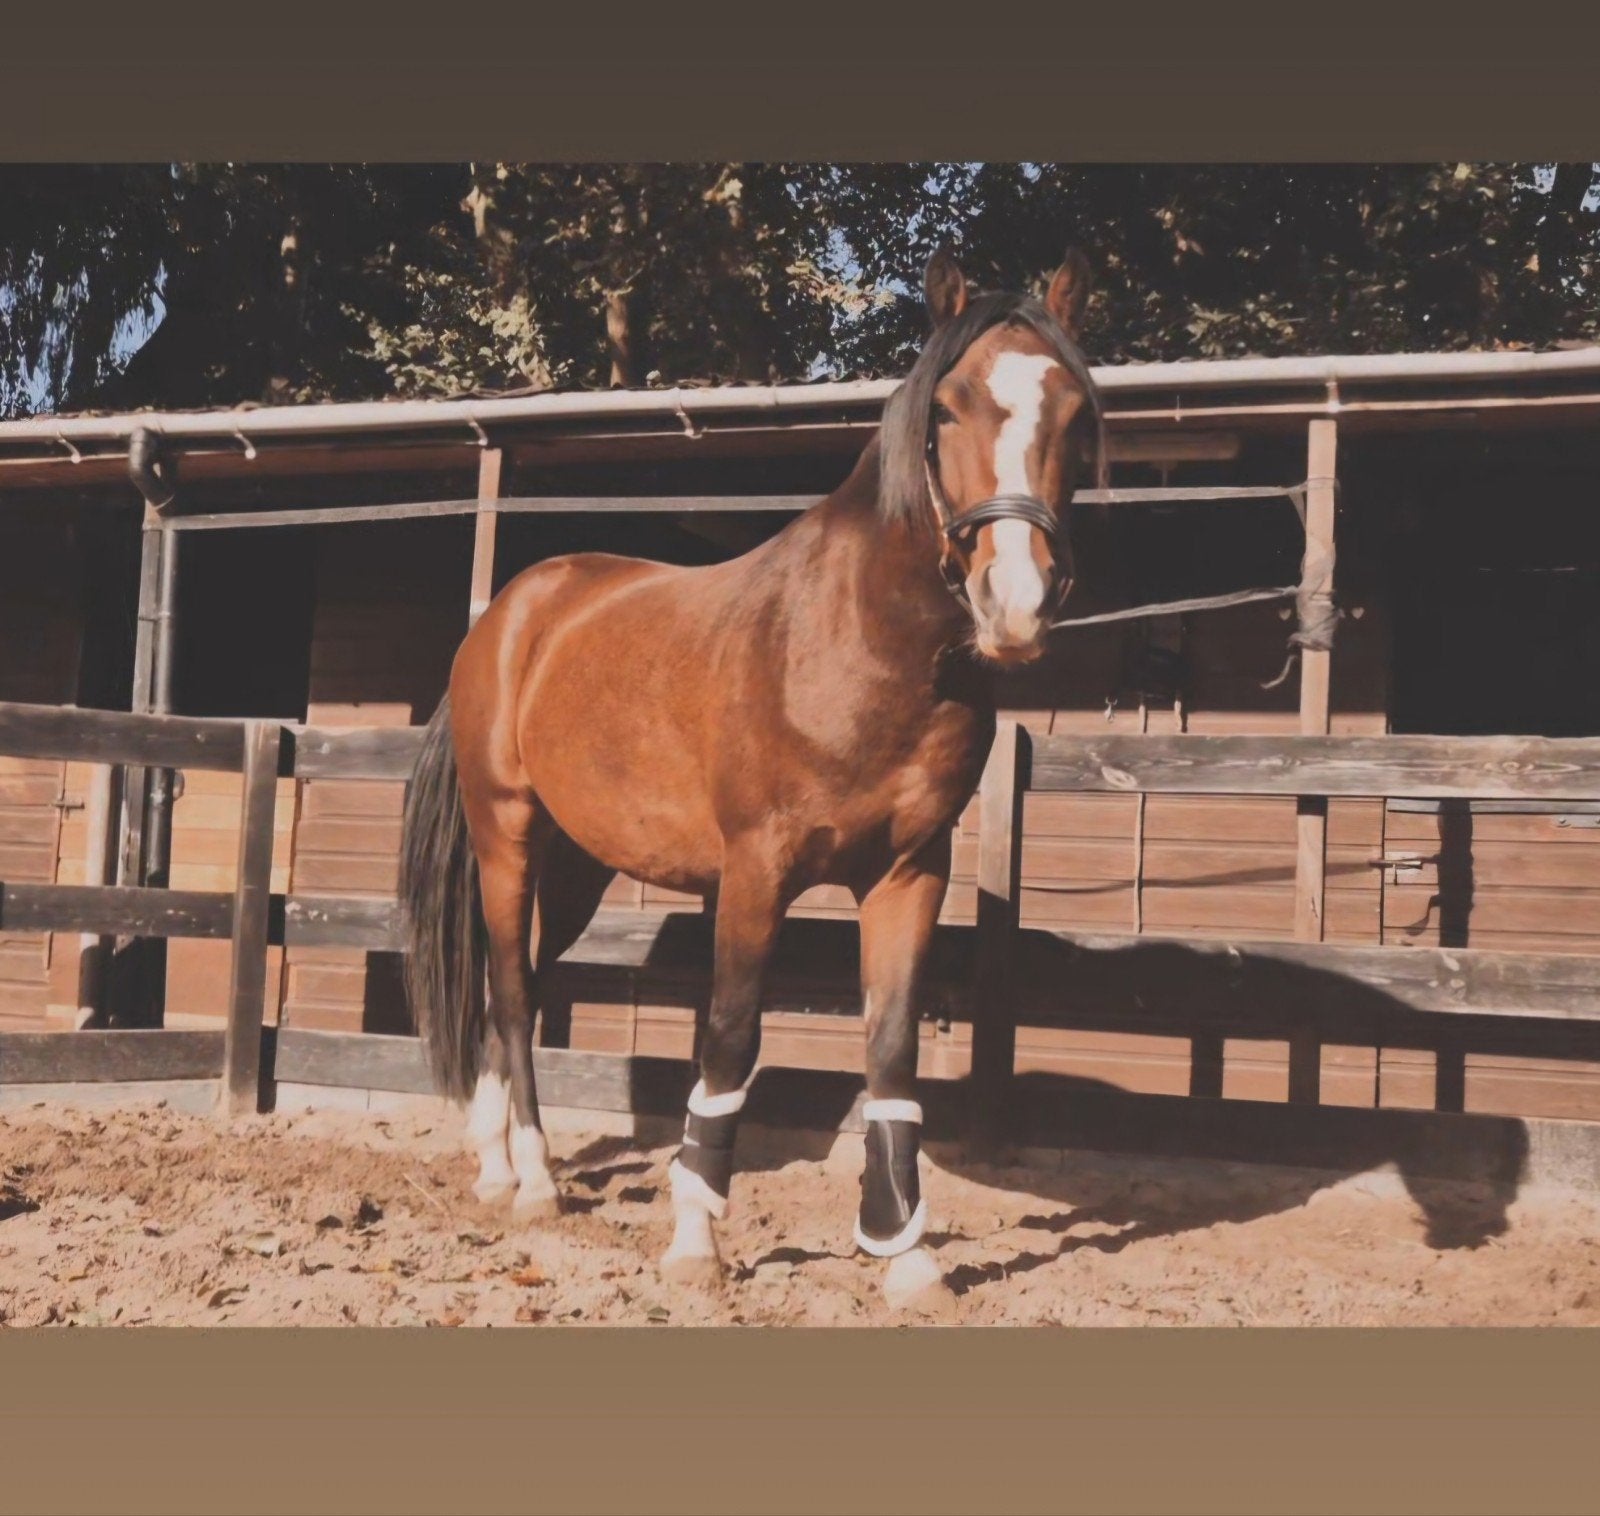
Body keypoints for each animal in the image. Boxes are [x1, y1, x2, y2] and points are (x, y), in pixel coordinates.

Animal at [398, 246, 1106, 1309]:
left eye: (1072, 411)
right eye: (948, 410)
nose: (1013, 602)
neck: (860, 642)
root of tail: (509, 617)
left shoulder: (909, 873)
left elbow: (891, 1050)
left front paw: (907, 1253)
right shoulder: (755, 872)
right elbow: (730, 1037)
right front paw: (697, 1237)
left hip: (576, 865)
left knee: (508, 979)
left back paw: (493, 1168)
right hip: (506, 835)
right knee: (516, 994)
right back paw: (534, 1181)